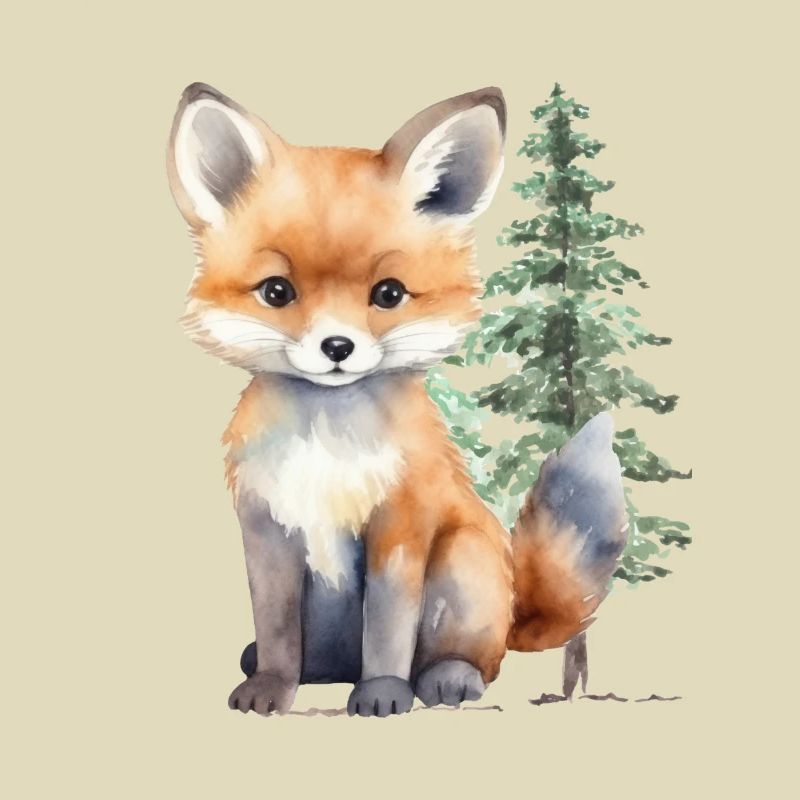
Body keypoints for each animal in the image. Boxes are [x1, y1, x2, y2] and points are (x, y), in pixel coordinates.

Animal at [166, 82, 628, 717]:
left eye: (388, 294)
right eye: (276, 291)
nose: (337, 346)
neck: (326, 445)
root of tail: (514, 608)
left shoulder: (400, 525)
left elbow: (388, 627)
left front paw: (384, 692)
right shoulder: (267, 529)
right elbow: (276, 626)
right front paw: (271, 687)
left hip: (461, 562)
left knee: (477, 660)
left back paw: (446, 679)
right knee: (316, 658)